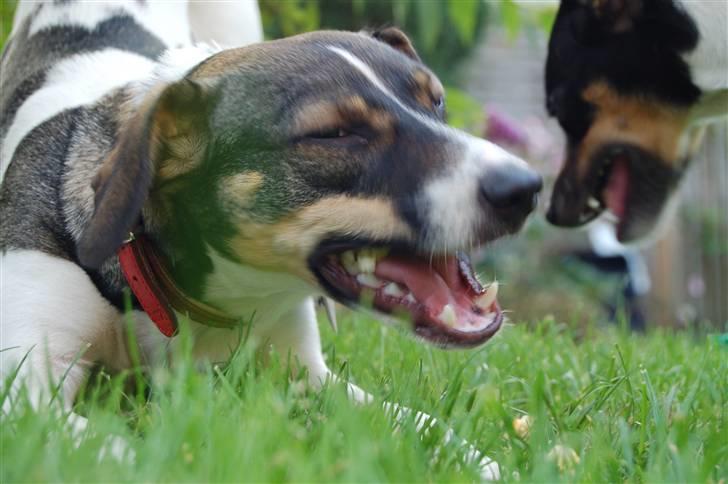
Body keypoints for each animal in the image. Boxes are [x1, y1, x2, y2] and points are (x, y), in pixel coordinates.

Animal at [0, 0, 540, 476]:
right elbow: (108, 447)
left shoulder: (307, 376)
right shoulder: (25, 391)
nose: (525, 187)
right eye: (334, 134)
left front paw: (481, 463)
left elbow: (418, 423)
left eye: (438, 100)